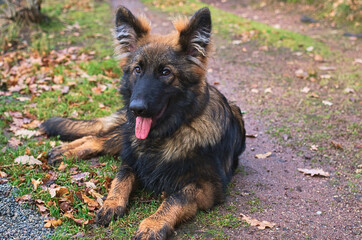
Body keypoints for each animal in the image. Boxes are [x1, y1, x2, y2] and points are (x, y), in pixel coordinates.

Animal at [41, 6, 246, 240]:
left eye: (165, 72)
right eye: (137, 69)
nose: (136, 108)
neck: (165, 135)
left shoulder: (208, 185)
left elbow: (176, 197)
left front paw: (153, 223)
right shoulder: (132, 159)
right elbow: (121, 179)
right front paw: (112, 203)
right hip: (124, 135)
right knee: (96, 138)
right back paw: (65, 151)